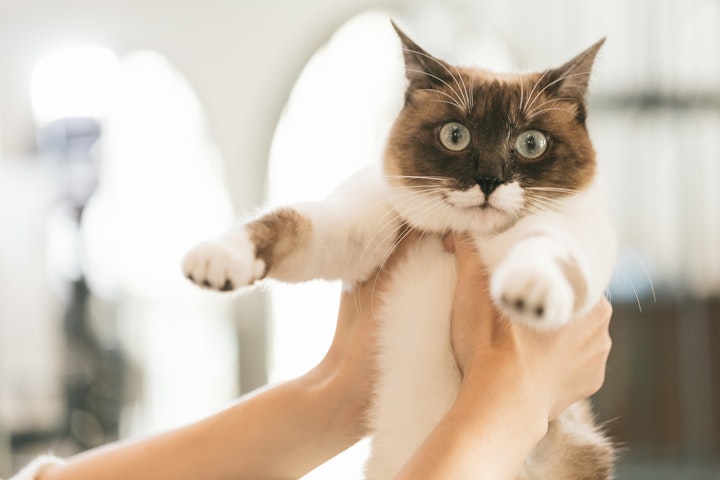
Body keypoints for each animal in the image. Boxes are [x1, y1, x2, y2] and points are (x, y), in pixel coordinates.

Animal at [183, 20, 616, 478]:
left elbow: (548, 248)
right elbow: (290, 222)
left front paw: (529, 291)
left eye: (531, 143)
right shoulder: (358, 229)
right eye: (455, 135)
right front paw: (220, 258)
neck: (462, 235)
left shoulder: (577, 229)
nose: (488, 179)